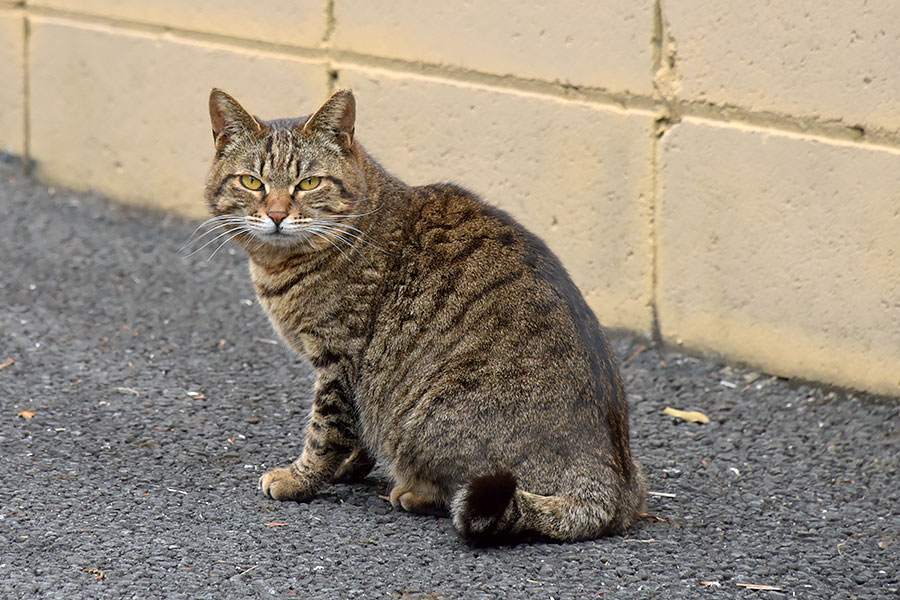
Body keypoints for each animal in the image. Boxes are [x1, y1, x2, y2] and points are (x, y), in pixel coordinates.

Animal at [202, 88, 648, 544]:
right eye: (252, 182)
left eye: (308, 183)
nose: (276, 215)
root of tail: (608, 482)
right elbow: (357, 434)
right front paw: (349, 468)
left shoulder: (340, 360)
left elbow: (326, 433)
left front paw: (298, 479)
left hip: (427, 417)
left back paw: (413, 492)